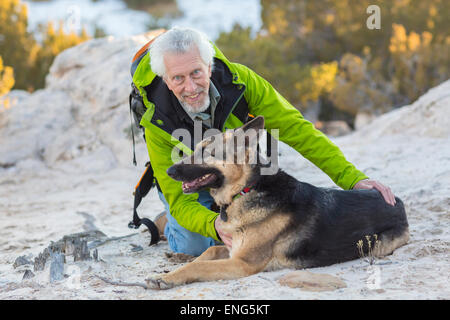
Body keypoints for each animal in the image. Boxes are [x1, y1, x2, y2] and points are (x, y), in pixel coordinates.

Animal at [147, 116, 408, 288]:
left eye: (207, 153)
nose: (168, 171)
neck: (246, 190)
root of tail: (398, 201)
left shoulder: (243, 263)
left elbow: (198, 266)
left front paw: (164, 278)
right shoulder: (231, 250)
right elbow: (207, 252)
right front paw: (170, 271)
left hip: (377, 246)